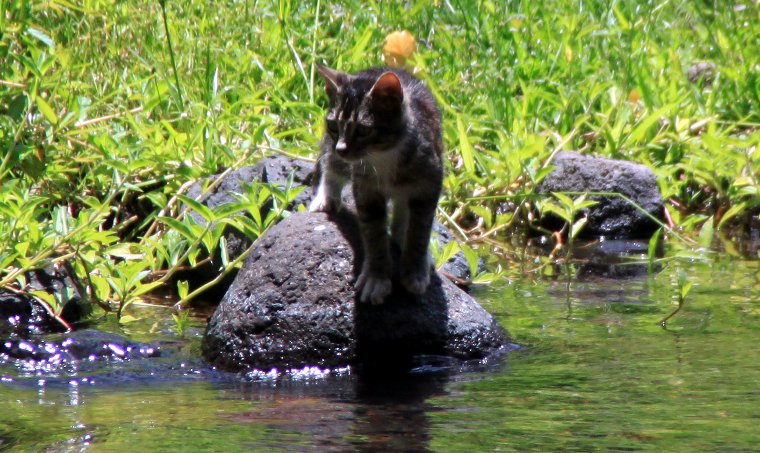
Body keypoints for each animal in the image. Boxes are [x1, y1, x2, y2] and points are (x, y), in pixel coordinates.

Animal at [308, 65, 442, 306]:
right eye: (333, 126)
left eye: (363, 130)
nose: (341, 147)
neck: (384, 156)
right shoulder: (365, 189)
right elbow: (374, 234)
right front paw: (376, 278)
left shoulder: (429, 184)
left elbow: (419, 230)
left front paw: (415, 271)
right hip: (336, 157)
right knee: (331, 164)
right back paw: (326, 197)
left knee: (403, 210)